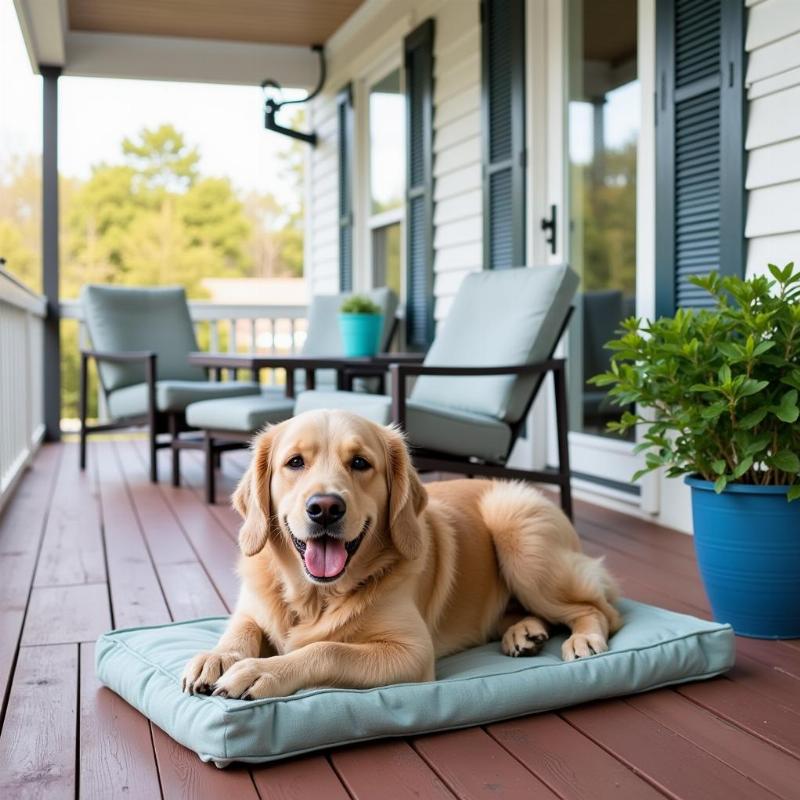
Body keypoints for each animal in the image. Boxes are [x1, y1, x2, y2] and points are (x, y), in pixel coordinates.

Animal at [181, 410, 620, 696]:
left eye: (361, 463)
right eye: (295, 462)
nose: (325, 507)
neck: (316, 598)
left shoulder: (412, 653)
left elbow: (327, 648)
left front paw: (259, 672)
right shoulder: (250, 608)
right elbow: (241, 628)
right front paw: (218, 657)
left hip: (517, 532)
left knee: (601, 610)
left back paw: (582, 639)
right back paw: (524, 632)